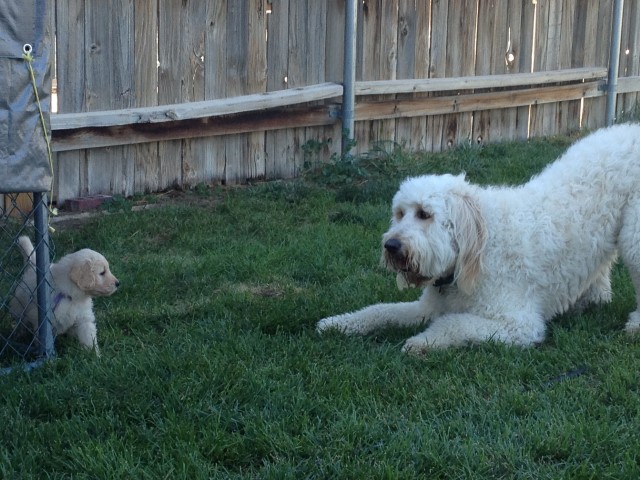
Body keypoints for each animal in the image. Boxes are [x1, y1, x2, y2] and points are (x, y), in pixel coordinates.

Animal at [318, 123, 640, 352]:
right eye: (399, 213)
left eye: (424, 214)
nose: (391, 245)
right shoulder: (427, 307)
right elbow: (380, 310)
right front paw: (338, 323)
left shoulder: (518, 324)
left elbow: (453, 323)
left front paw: (423, 342)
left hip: (633, 239)